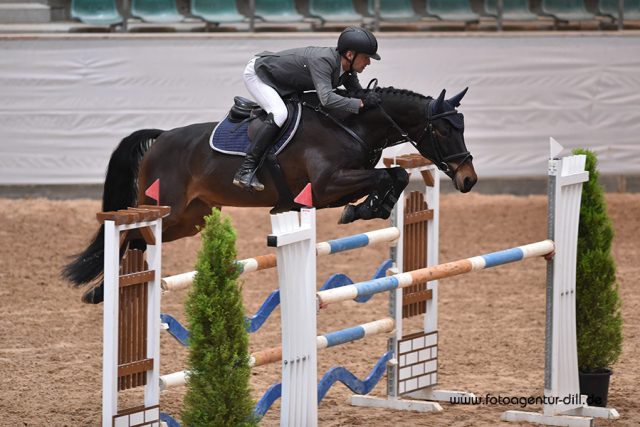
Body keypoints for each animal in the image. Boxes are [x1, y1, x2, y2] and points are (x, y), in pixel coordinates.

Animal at [63, 85, 476, 304]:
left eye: (462, 126)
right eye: (443, 131)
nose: (468, 178)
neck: (351, 125)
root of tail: (161, 137)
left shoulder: (334, 189)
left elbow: (394, 177)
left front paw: (369, 209)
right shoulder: (325, 187)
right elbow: (388, 175)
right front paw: (362, 210)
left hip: (191, 218)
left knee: (140, 240)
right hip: (164, 207)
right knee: (130, 234)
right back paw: (100, 292)